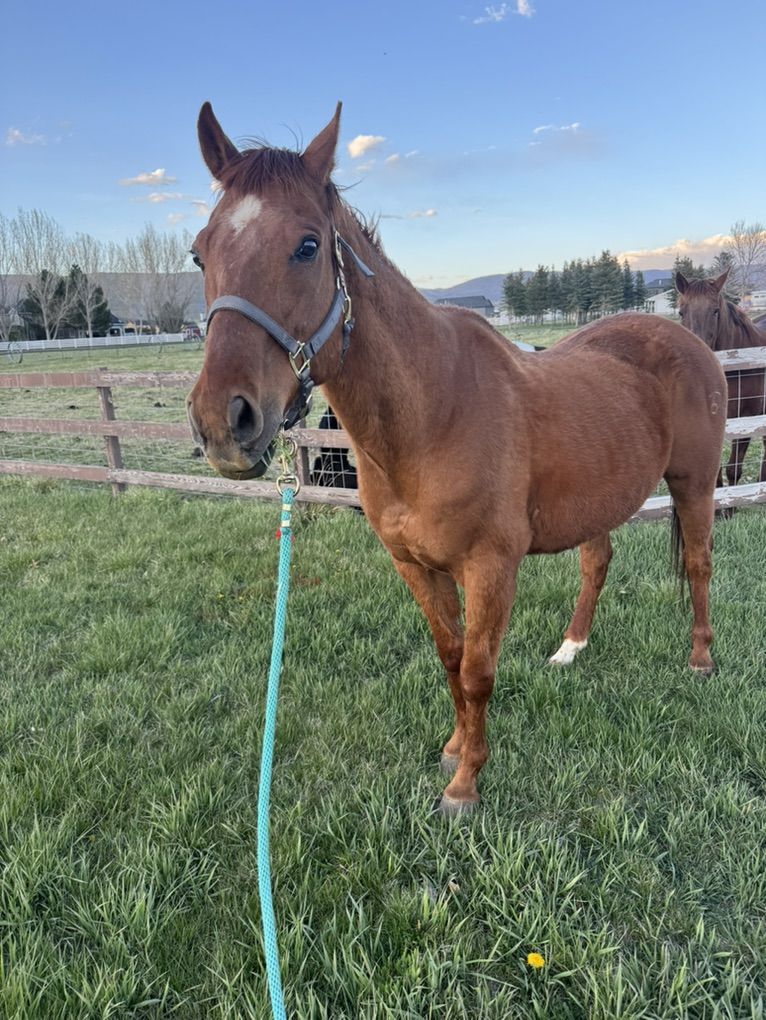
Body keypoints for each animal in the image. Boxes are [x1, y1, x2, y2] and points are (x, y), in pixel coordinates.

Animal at [187, 102, 727, 814]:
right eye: (199, 252)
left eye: (307, 245)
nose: (224, 421)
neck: (433, 412)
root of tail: (688, 339)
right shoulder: (415, 565)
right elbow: (449, 659)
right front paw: (453, 747)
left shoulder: (491, 567)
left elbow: (477, 670)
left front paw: (466, 783)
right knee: (597, 561)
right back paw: (570, 649)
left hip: (694, 482)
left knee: (697, 564)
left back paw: (700, 661)